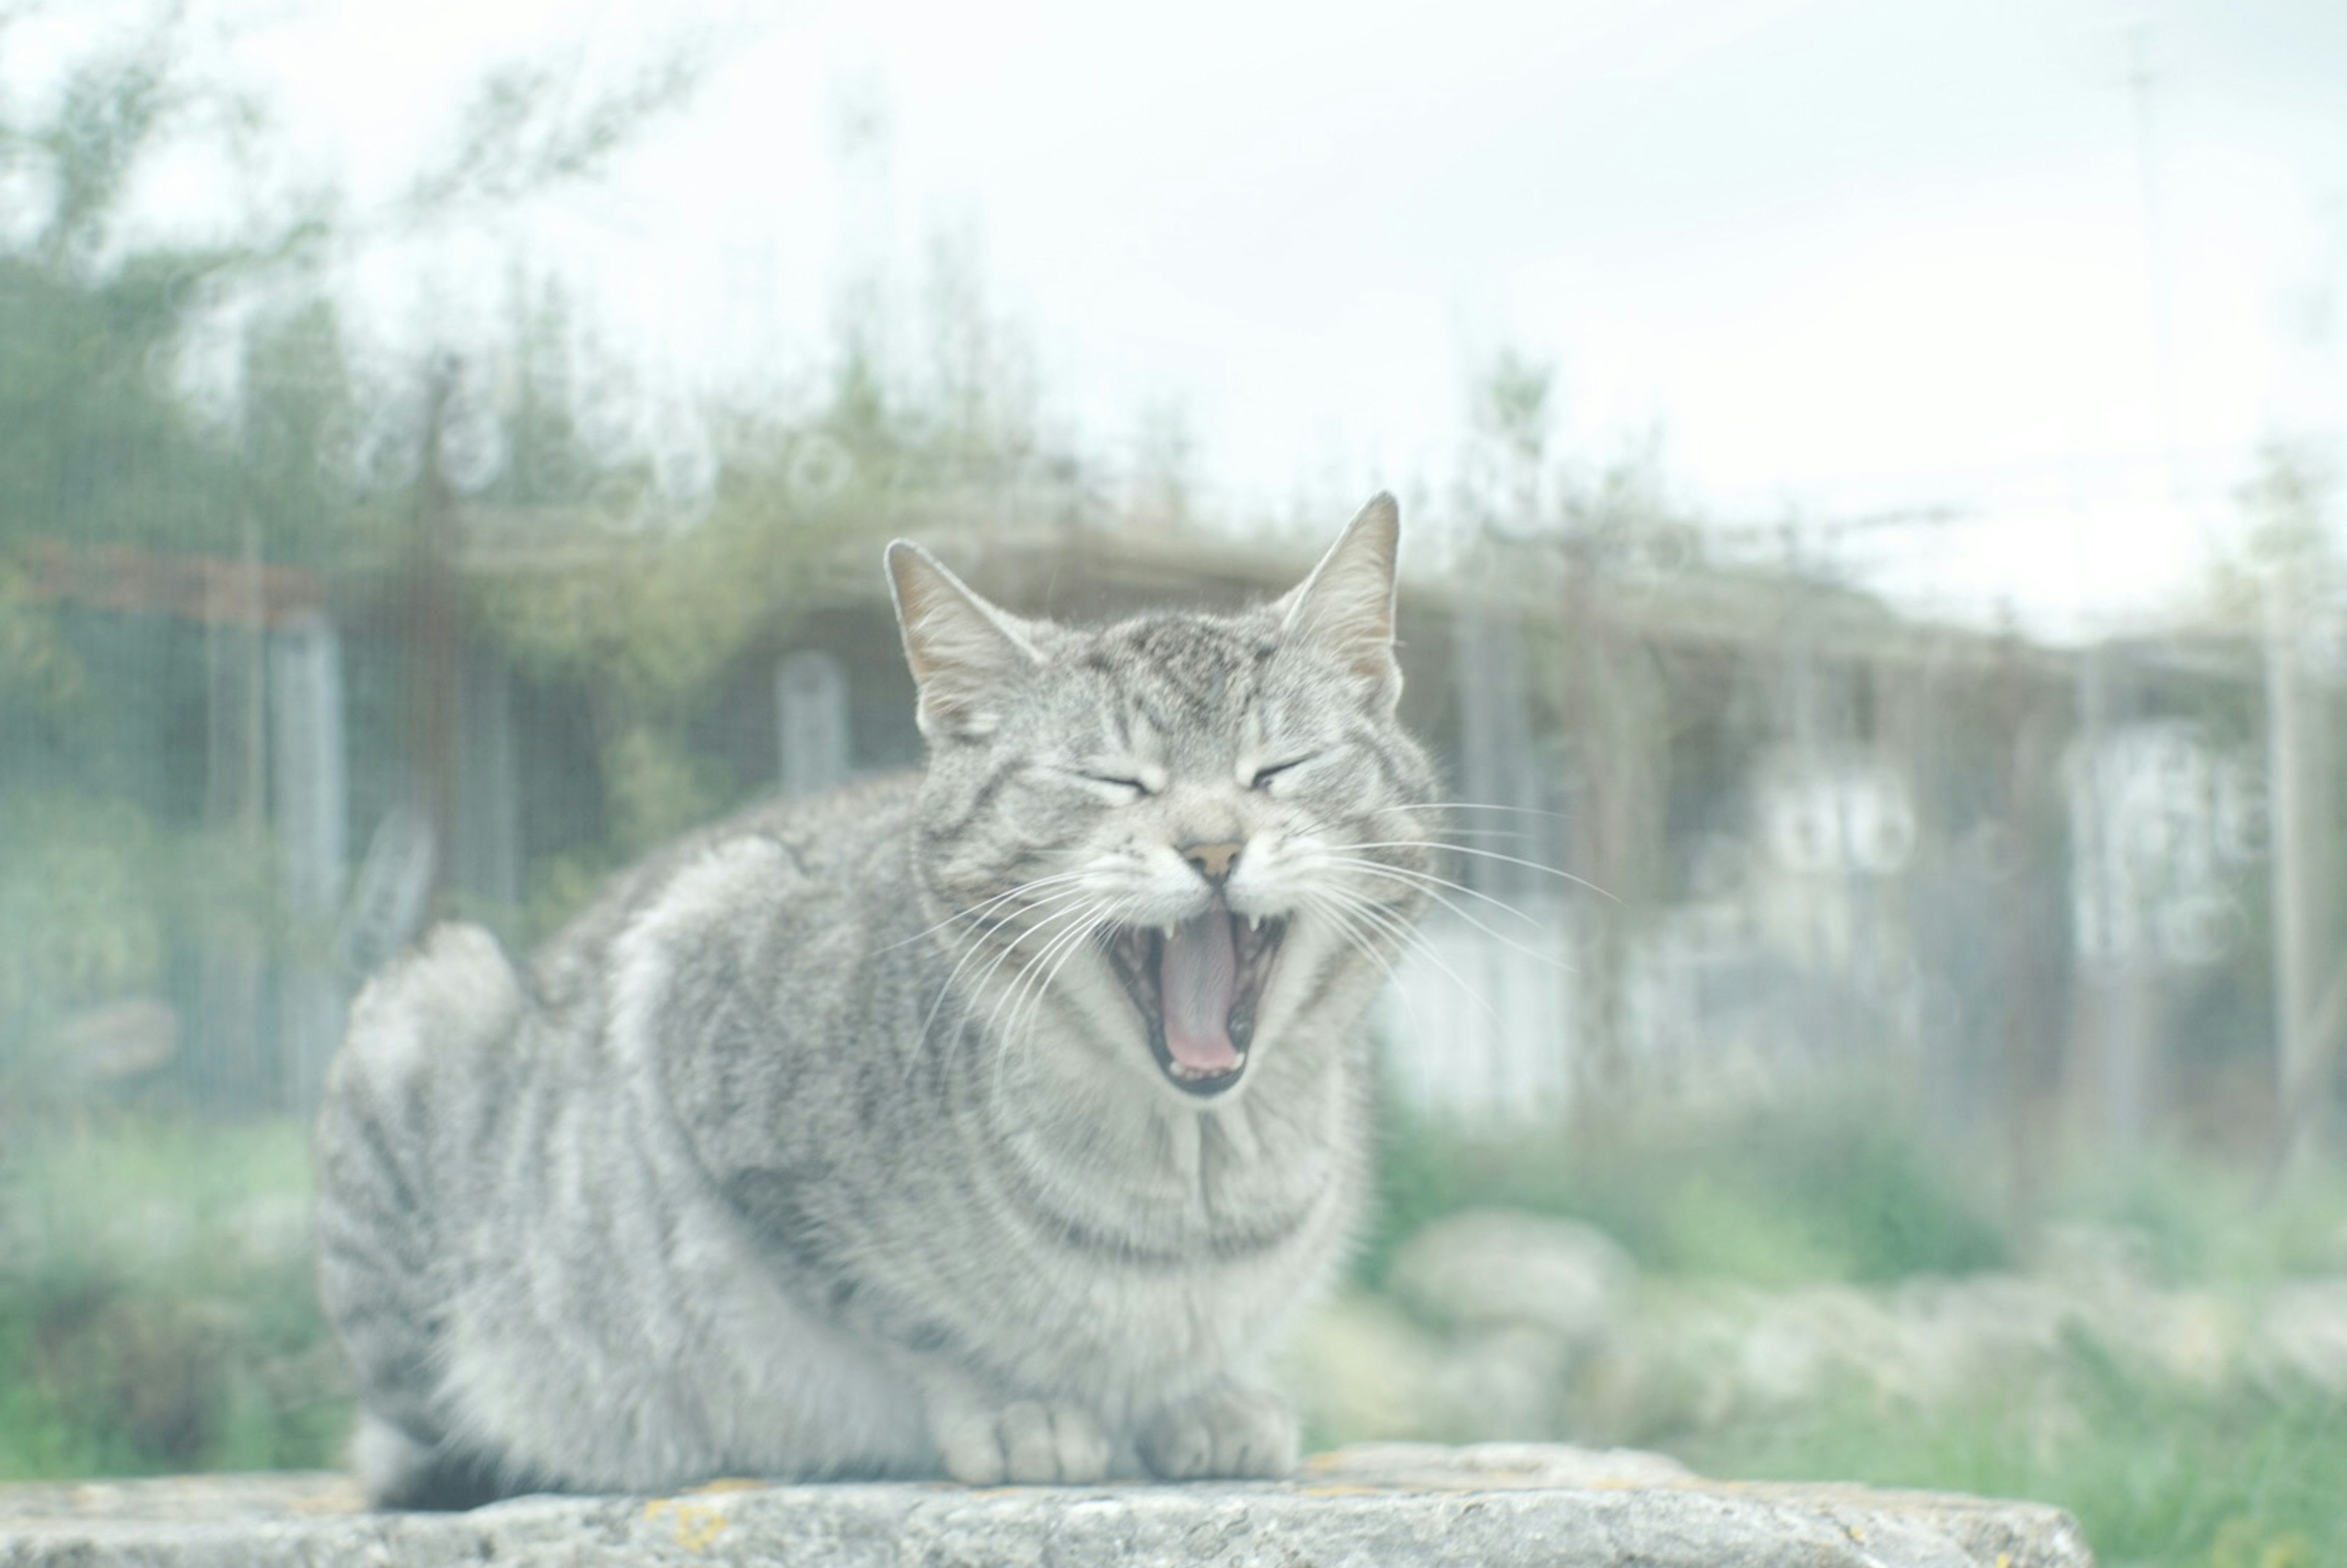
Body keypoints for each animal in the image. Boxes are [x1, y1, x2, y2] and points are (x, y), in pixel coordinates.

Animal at [312, 490, 1436, 1502]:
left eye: (1279, 767)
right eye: (1111, 779)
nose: (1213, 844)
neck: (1194, 1179)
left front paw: (1201, 1398)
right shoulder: (707, 1022)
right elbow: (906, 1317)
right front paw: (1018, 1405)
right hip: (429, 1015)